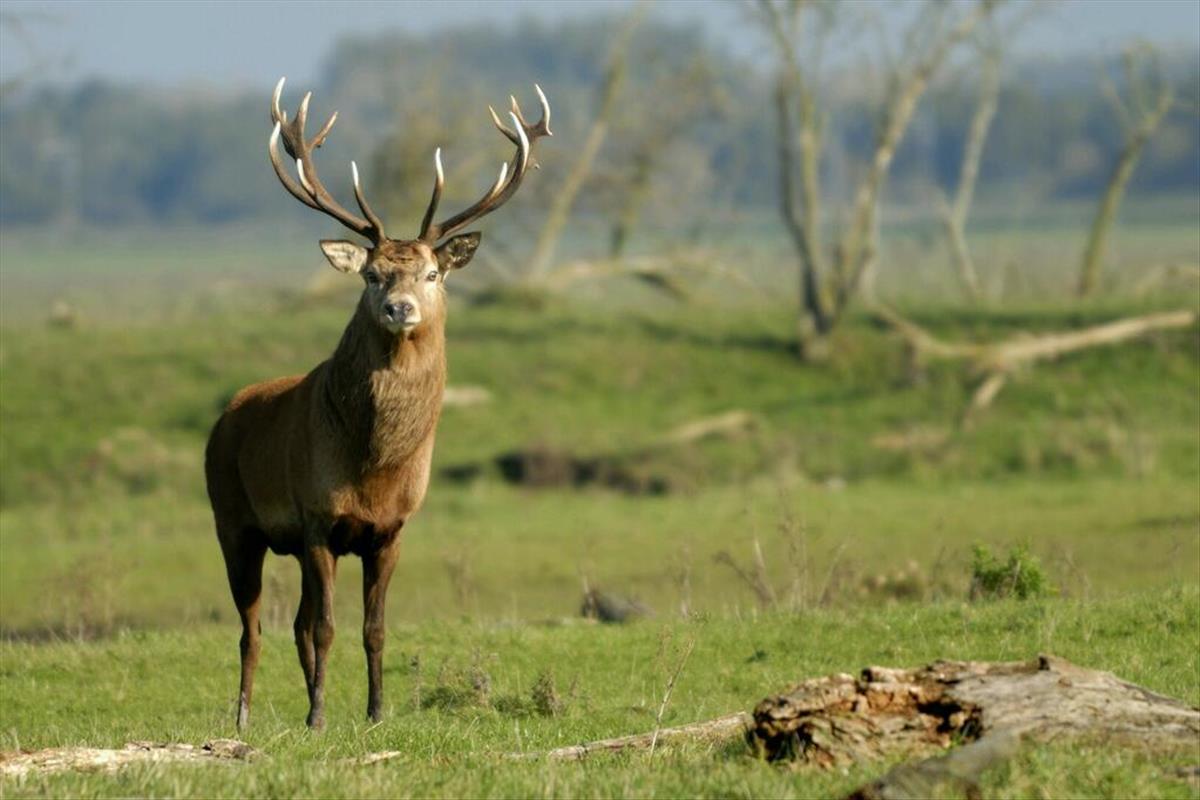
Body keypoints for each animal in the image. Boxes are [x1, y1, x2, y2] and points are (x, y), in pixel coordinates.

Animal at [206, 76, 552, 734]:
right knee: (252, 629)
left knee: (291, 625)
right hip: (232, 521)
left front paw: (374, 712)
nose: (399, 308)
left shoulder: (390, 530)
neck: (374, 468)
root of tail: (224, 415)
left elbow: (374, 629)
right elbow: (327, 628)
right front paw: (319, 718)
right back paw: (242, 718)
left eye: (433, 274)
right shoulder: (317, 518)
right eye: (370, 275)